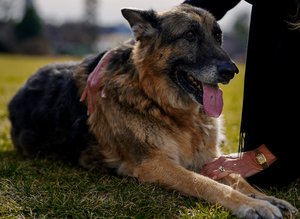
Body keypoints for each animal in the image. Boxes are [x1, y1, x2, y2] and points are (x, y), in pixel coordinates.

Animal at [7, 3, 298, 219]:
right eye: (189, 36)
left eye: (218, 36)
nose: (231, 71)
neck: (160, 102)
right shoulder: (155, 164)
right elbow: (208, 184)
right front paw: (254, 205)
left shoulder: (209, 159)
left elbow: (237, 178)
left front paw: (267, 198)